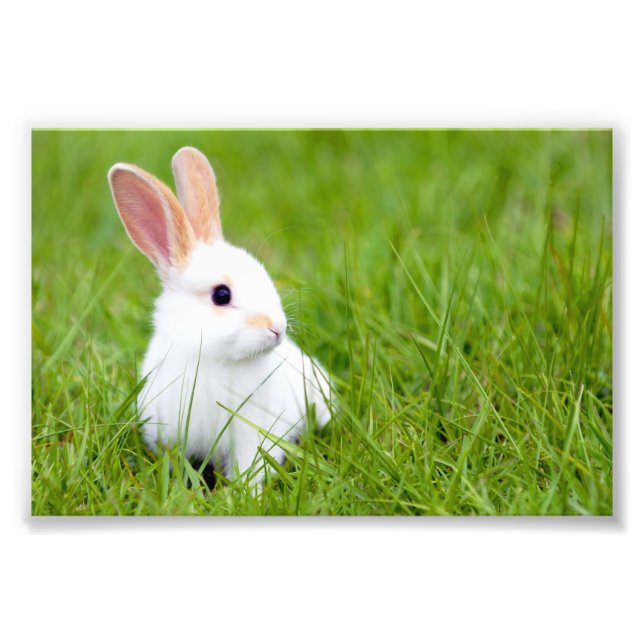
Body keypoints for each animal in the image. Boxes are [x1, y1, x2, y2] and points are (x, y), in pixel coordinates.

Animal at [108, 146, 331, 489]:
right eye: (221, 295)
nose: (277, 329)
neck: (213, 358)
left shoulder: (252, 433)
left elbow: (250, 466)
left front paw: (247, 493)